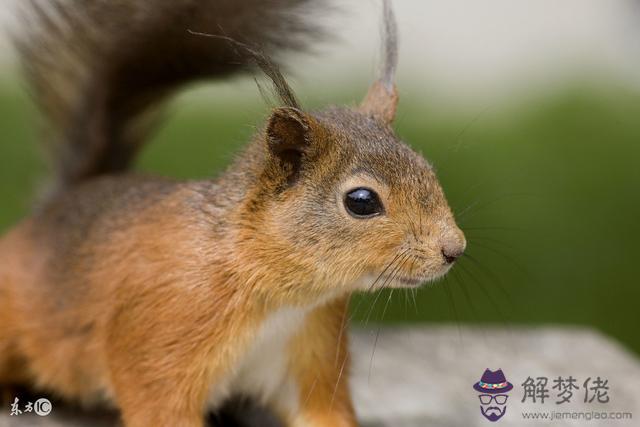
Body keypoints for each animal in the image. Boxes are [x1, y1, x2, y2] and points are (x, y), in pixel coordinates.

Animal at [0, 0, 464, 427]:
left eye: (426, 167)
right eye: (362, 201)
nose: (454, 249)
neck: (282, 297)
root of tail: (55, 207)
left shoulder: (308, 354)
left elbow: (323, 413)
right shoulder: (160, 343)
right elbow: (160, 407)